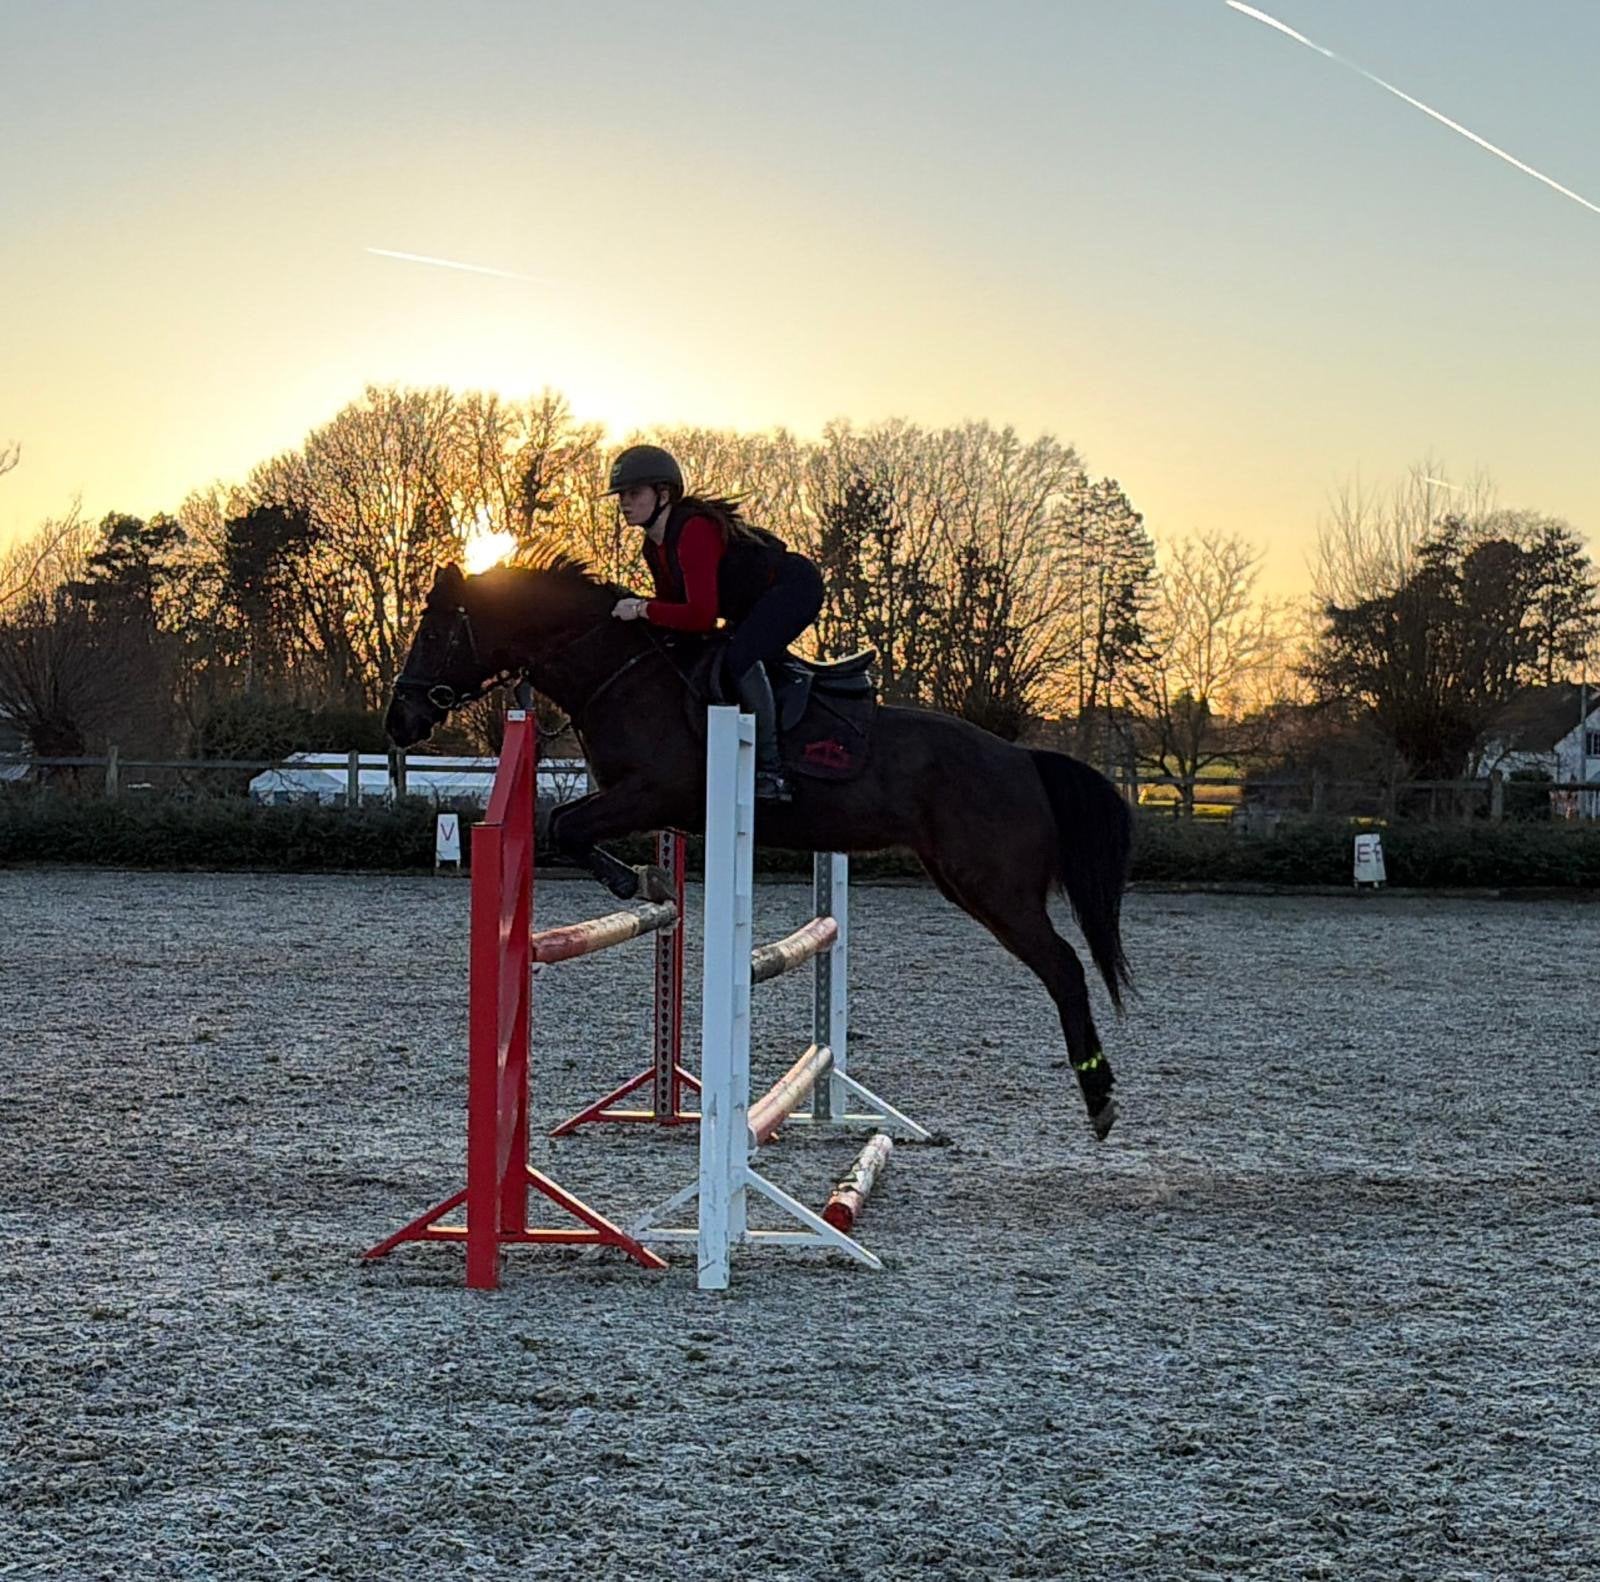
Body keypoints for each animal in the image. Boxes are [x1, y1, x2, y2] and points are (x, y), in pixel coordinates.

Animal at [386, 559, 1134, 1139]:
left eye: (434, 631)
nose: (399, 722)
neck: (619, 670)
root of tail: (1024, 759)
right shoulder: (647, 803)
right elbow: (560, 825)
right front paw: (649, 881)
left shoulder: (654, 792)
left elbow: (562, 827)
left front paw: (637, 884)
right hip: (963, 880)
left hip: (994, 887)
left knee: (1064, 966)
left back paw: (1099, 1099)